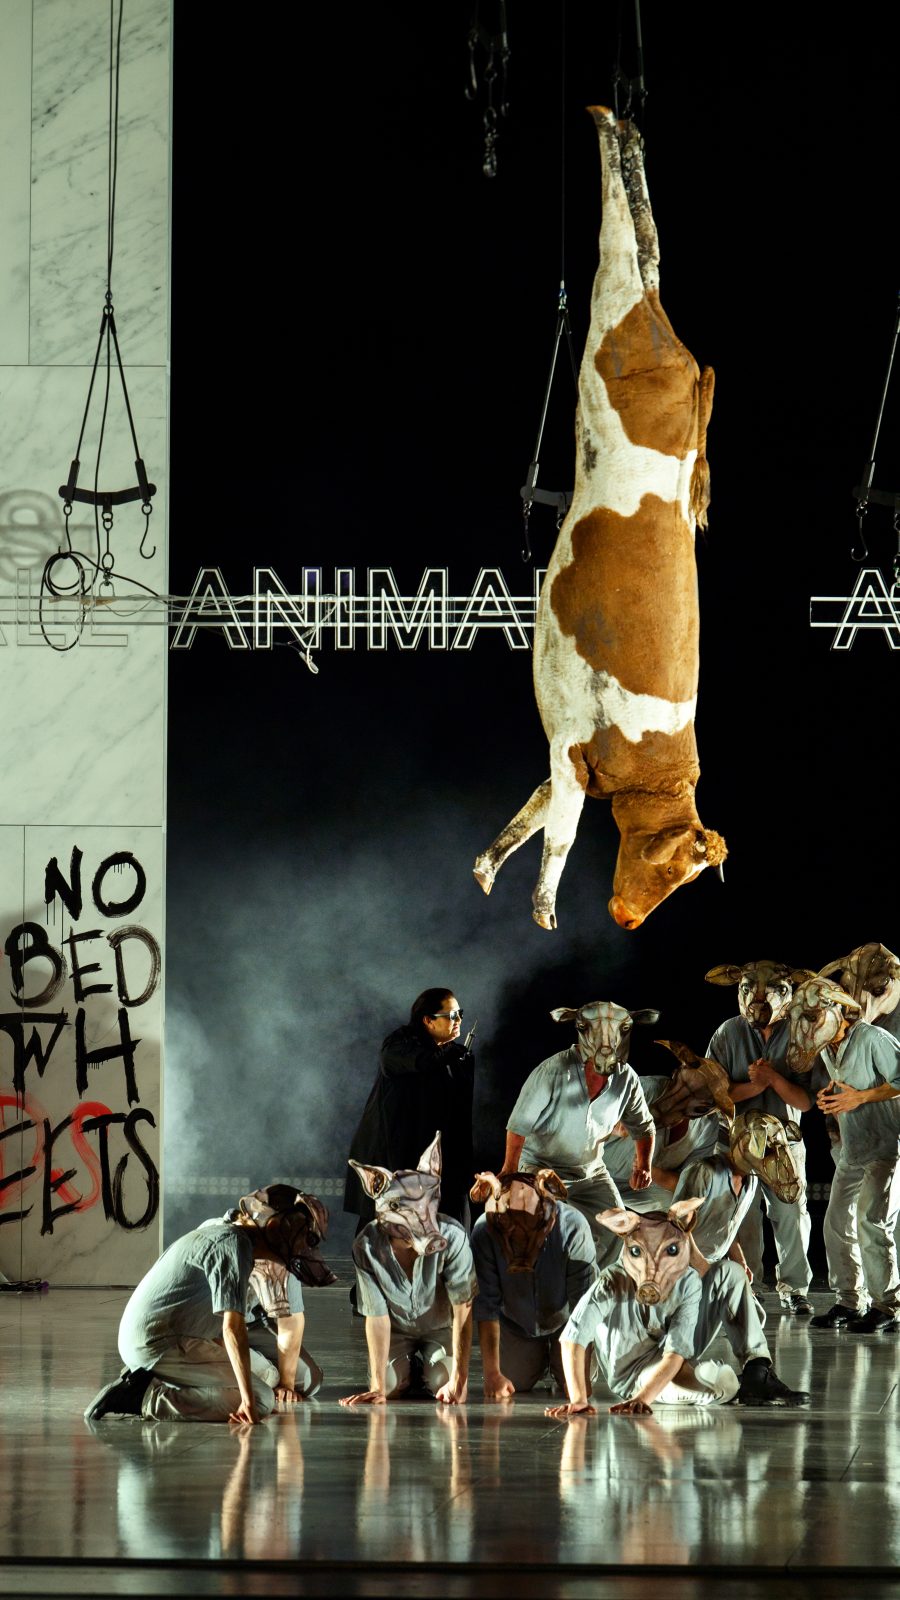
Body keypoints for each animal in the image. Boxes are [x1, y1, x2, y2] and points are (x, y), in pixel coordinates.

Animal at [474, 109, 725, 931]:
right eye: (672, 864)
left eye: (683, 882)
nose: (627, 922)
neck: (650, 764)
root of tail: (685, 358)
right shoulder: (575, 748)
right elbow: (558, 831)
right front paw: (544, 909)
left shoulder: (564, 752)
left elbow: (539, 812)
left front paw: (496, 882)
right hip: (612, 321)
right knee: (627, 243)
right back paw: (607, 118)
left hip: (624, 315)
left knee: (643, 239)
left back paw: (615, 121)